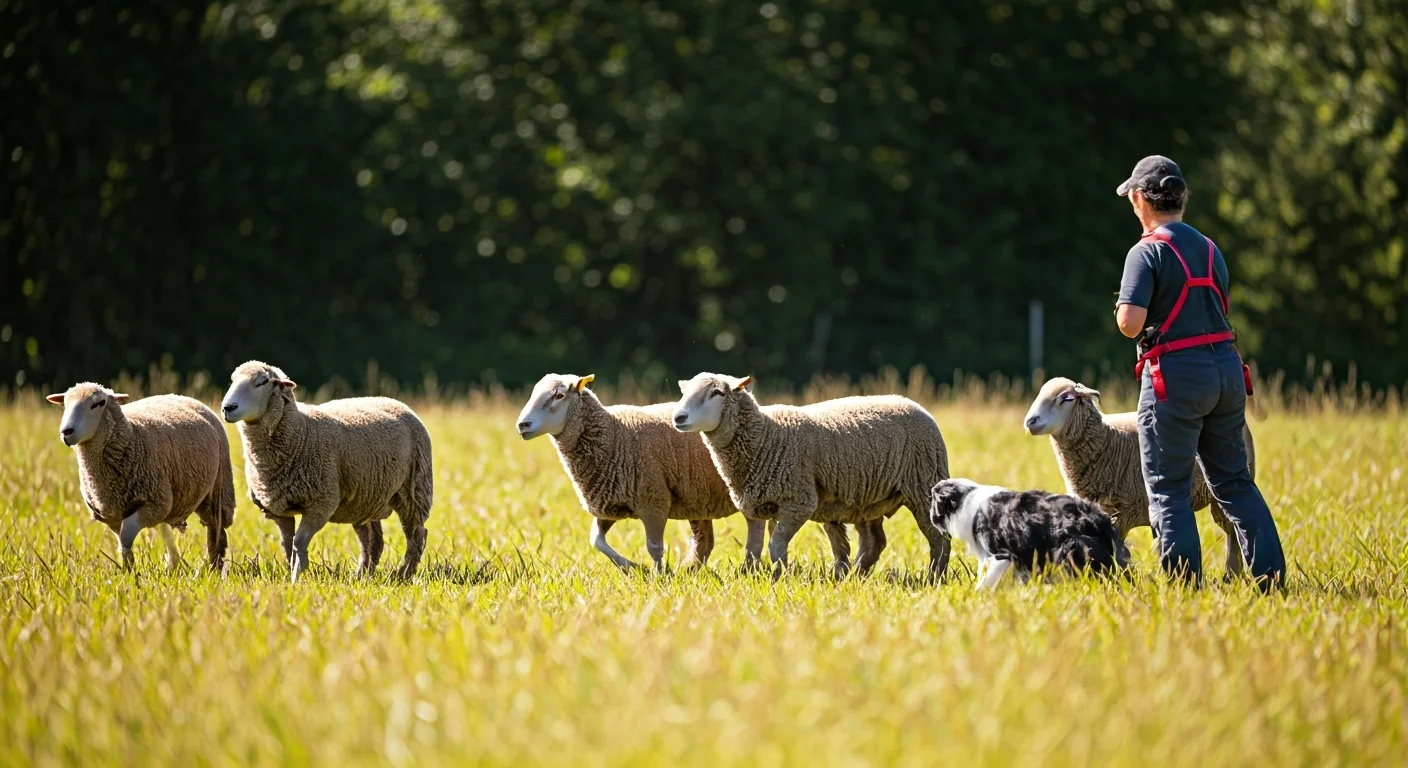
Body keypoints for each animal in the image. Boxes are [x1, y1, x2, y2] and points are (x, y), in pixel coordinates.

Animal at [46, 383, 235, 572]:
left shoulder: (156, 504)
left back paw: (213, 567)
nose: (66, 432)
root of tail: (179, 396)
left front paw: (131, 574)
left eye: (99, 403)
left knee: (215, 531)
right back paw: (174, 564)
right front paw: (128, 570)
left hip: (218, 489)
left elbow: (126, 537)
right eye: (65, 404)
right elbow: (123, 543)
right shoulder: (113, 515)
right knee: (166, 529)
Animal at [220, 361, 432, 582]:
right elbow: (287, 545)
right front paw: (291, 573)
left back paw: (404, 574)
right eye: (233, 380)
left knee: (417, 535)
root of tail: (392, 400)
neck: (300, 432)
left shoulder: (320, 505)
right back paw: (361, 576)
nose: (228, 408)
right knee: (373, 541)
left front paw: (296, 579)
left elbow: (298, 543)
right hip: (366, 498)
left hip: (414, 490)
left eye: (263, 382)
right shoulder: (280, 510)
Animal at [515, 372, 778, 571]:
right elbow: (596, 541)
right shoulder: (611, 503)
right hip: (697, 497)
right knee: (705, 541)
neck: (614, 434)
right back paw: (691, 569)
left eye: (558, 395)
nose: (522, 425)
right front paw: (633, 568)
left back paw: (747, 569)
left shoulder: (653, 500)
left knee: (754, 530)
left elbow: (654, 547)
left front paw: (658, 576)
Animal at [672, 373, 952, 581]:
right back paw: (854, 578)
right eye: (684, 393)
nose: (678, 417)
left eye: (717, 393)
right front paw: (753, 577)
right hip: (868, 498)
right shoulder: (756, 506)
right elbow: (754, 549)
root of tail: (911, 402)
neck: (767, 436)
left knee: (939, 537)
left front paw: (779, 578)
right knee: (874, 542)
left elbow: (775, 545)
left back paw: (934, 578)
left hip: (924, 483)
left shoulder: (799, 502)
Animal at [1022, 377, 1256, 577]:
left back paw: (1232, 573)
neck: (1110, 444)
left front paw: (1123, 578)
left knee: (1232, 531)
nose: (1030, 421)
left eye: (1067, 398)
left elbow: (1117, 549)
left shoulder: (1128, 511)